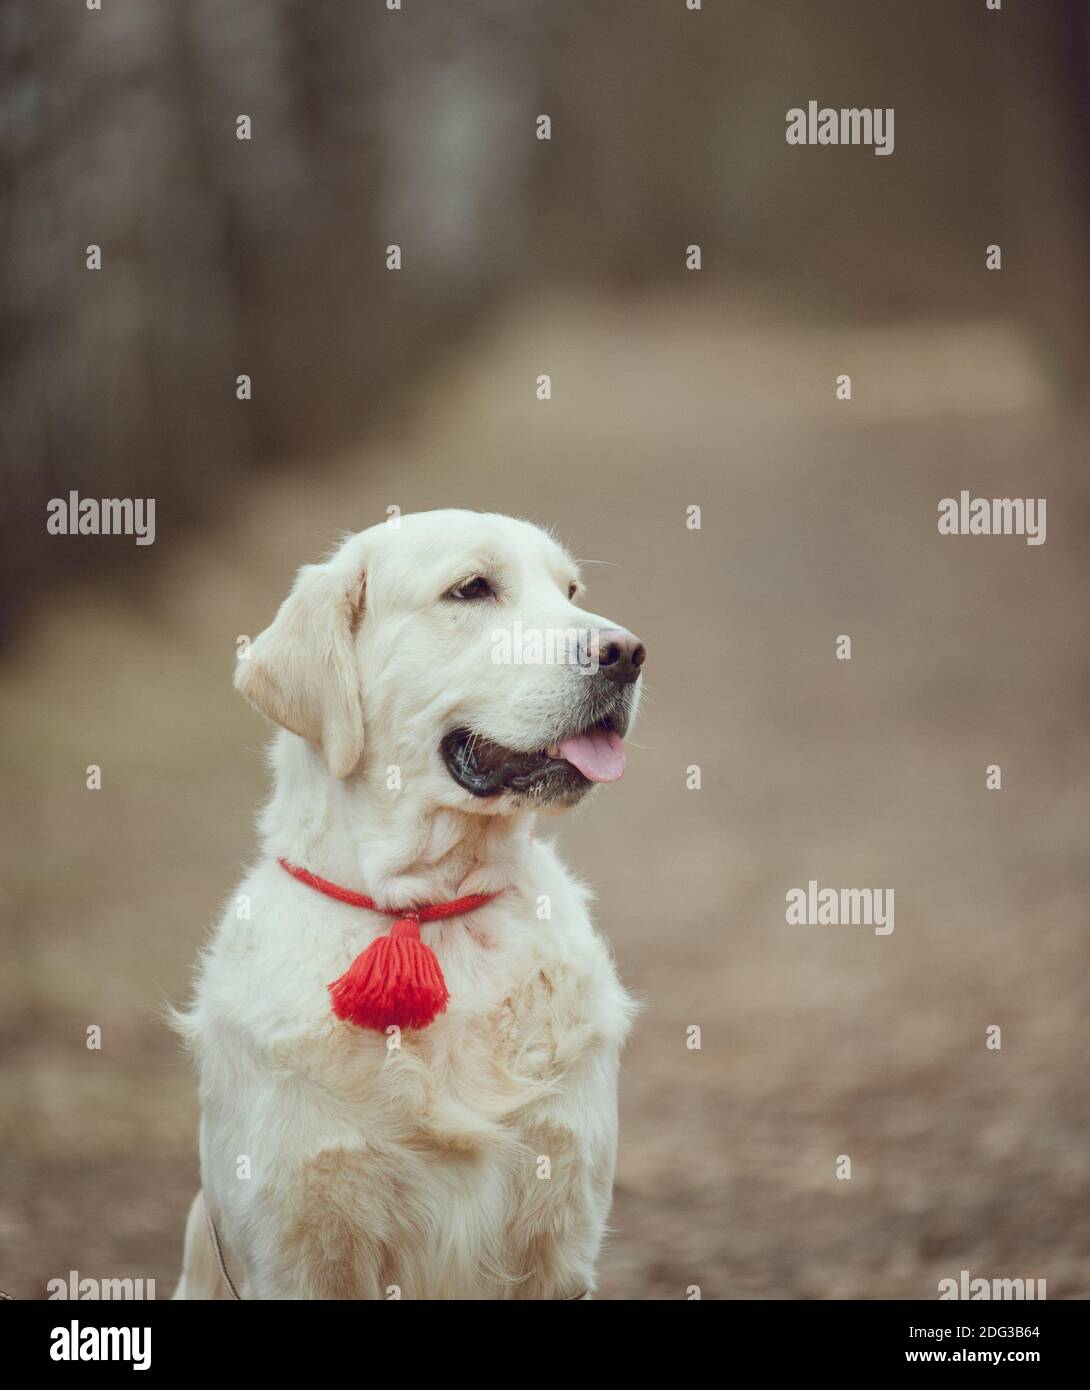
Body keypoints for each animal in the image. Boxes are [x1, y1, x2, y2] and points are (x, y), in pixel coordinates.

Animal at [173, 514, 642, 1301]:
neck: (432, 906)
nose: (627, 653)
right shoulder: (300, 1241)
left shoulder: (560, 1235)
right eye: (472, 589)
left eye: (571, 591)